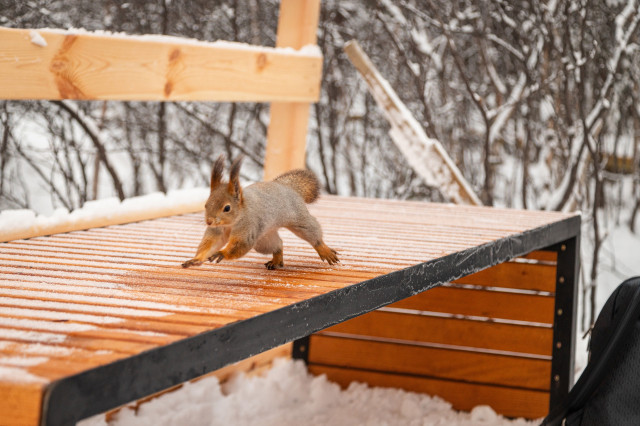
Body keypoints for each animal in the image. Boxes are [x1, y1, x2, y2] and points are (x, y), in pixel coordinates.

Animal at [181, 156, 340, 270]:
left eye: (227, 208)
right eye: (206, 204)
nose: (209, 221)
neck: (233, 221)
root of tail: (286, 186)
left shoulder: (249, 226)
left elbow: (240, 245)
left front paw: (222, 253)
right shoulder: (217, 230)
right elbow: (211, 244)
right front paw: (196, 260)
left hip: (298, 219)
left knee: (313, 234)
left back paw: (324, 250)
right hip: (264, 238)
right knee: (278, 244)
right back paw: (276, 260)